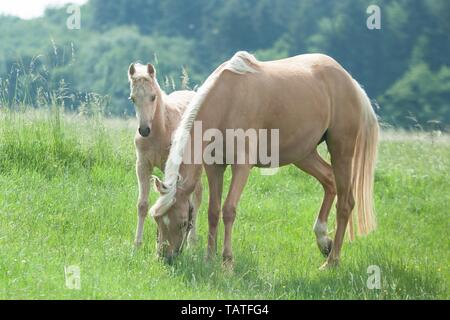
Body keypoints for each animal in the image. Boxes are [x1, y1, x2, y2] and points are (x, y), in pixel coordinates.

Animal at [128, 62, 202, 248]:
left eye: (153, 97)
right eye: (133, 98)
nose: (144, 130)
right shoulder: (142, 166)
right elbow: (142, 204)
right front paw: (137, 245)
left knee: (197, 197)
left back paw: (192, 241)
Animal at [149, 52, 378, 268]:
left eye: (182, 223)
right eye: (157, 219)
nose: (164, 258)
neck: (227, 102)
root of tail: (349, 80)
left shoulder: (242, 166)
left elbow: (229, 210)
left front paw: (227, 262)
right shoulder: (215, 167)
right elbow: (213, 212)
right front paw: (208, 259)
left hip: (342, 150)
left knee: (345, 203)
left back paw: (331, 262)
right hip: (305, 154)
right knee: (329, 180)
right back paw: (323, 241)